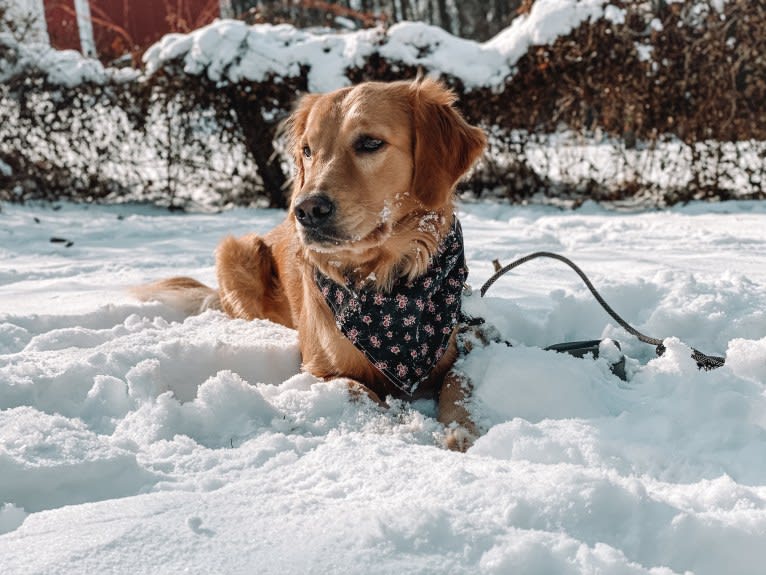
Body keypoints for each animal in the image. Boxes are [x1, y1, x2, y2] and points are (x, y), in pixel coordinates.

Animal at [134, 77, 486, 450]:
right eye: (308, 150)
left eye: (370, 143)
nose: (306, 210)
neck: (383, 280)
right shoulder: (320, 368)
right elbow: (363, 392)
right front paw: (406, 430)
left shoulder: (460, 349)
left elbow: (458, 385)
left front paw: (460, 431)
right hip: (237, 250)